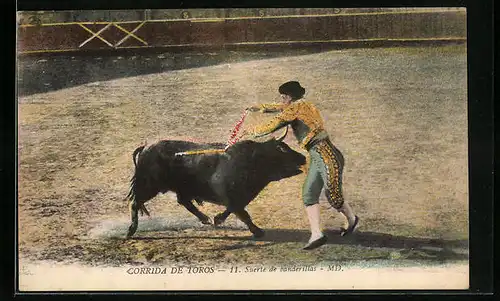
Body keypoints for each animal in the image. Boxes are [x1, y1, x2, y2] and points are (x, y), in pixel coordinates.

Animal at [125, 127, 304, 238]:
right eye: (282, 149)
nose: (303, 157)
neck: (252, 160)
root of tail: (145, 147)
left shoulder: (238, 197)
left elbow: (234, 209)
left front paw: (217, 219)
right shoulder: (232, 196)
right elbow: (242, 213)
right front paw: (258, 231)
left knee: (184, 201)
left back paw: (205, 219)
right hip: (149, 186)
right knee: (135, 202)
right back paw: (130, 231)